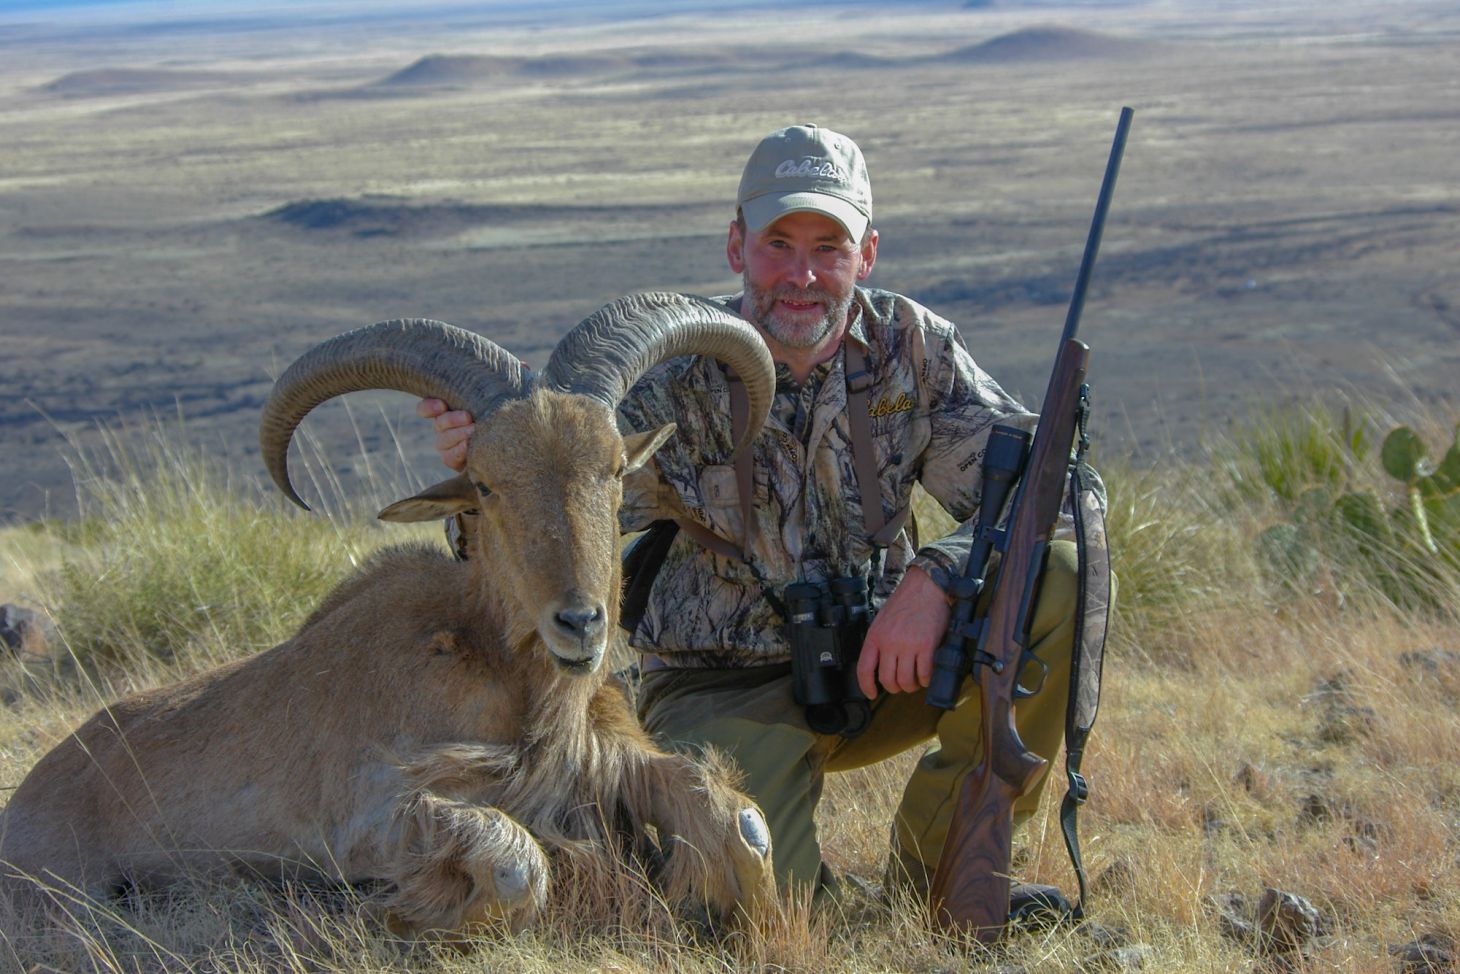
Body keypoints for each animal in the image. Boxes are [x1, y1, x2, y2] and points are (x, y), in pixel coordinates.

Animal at [0, 292, 777, 936]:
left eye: (615, 470)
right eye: (485, 485)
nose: (581, 624)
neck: (509, 680)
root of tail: (22, 803)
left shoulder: (606, 761)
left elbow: (742, 823)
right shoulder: (375, 811)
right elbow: (517, 863)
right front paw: (398, 915)